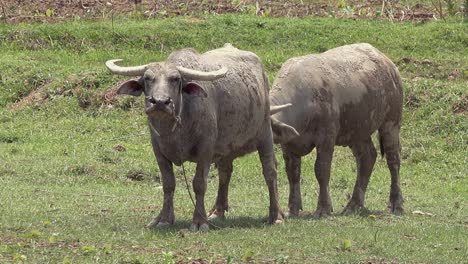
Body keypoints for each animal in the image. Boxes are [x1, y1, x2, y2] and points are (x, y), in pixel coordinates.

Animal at [107, 43, 288, 231]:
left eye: (175, 79)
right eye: (148, 78)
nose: (160, 102)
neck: (175, 131)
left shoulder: (205, 150)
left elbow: (199, 184)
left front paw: (199, 221)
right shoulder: (159, 151)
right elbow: (168, 184)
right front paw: (163, 219)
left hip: (264, 133)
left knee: (270, 170)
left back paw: (276, 215)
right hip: (226, 147)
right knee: (225, 172)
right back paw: (217, 212)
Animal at [268, 42, 404, 217]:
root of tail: (388, 64)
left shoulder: (326, 136)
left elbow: (321, 169)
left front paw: (323, 208)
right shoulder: (288, 144)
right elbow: (292, 173)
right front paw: (293, 208)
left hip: (391, 122)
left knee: (393, 160)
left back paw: (396, 203)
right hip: (357, 130)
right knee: (367, 157)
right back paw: (354, 204)